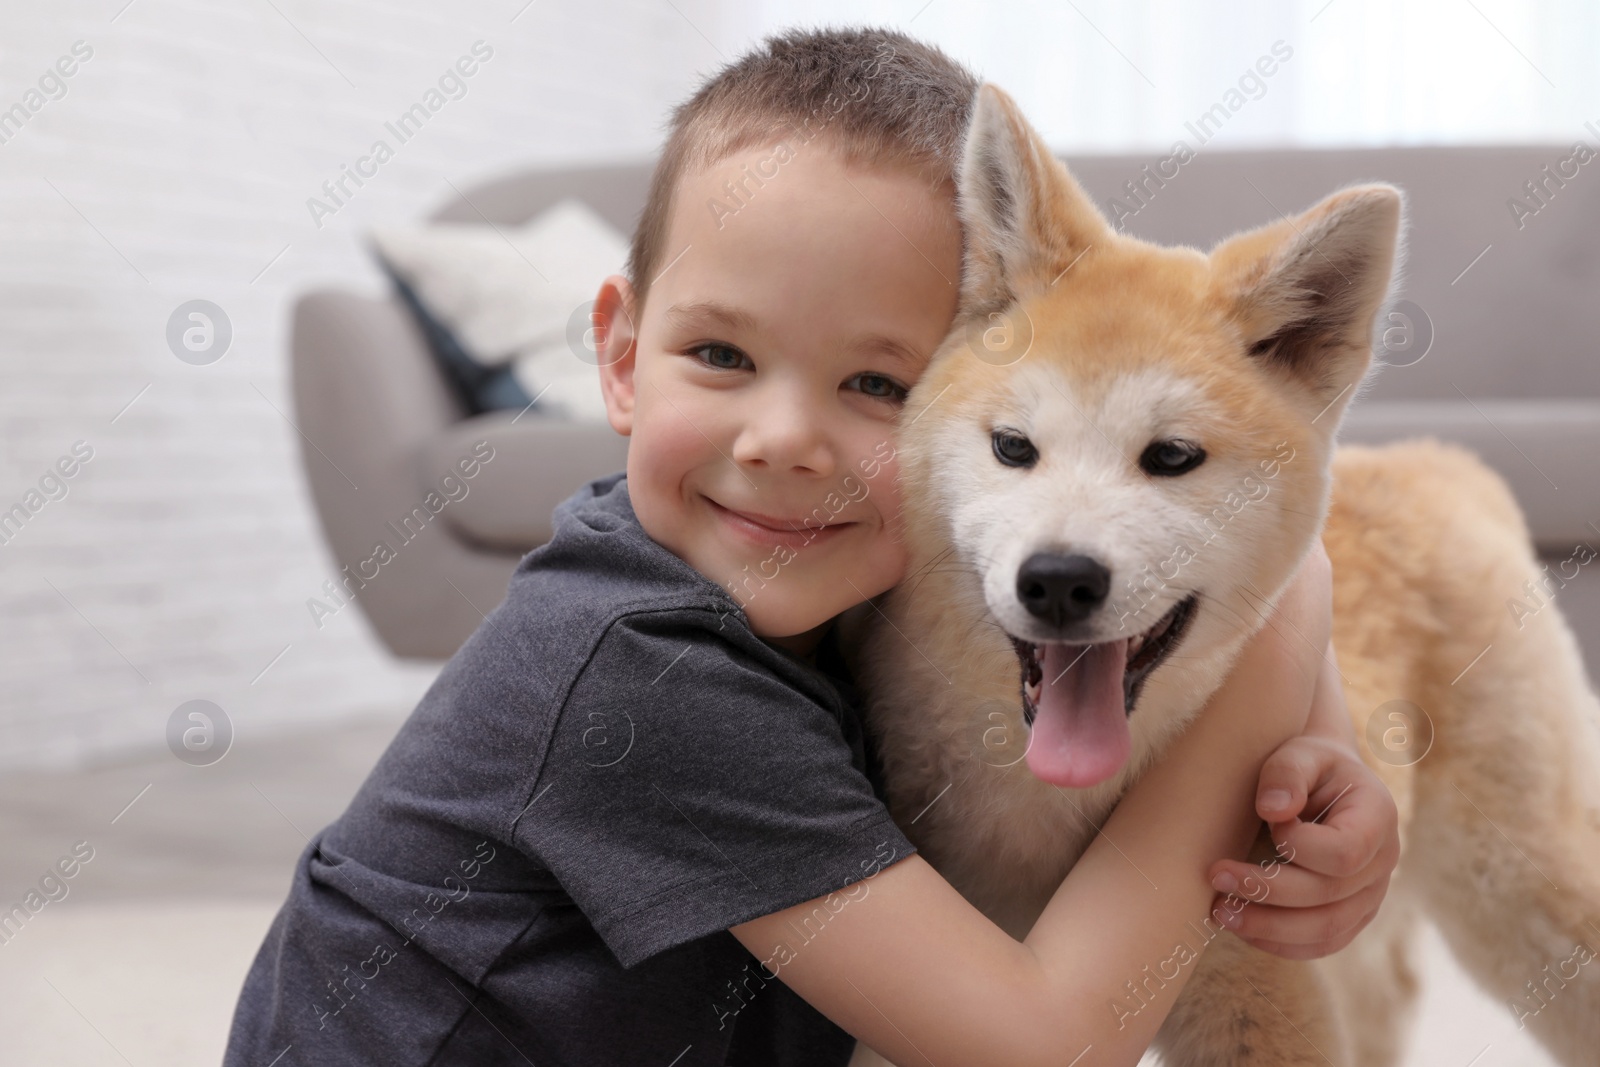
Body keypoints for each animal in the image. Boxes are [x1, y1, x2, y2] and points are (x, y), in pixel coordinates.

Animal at [844, 85, 1600, 1067]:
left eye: (1171, 456)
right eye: (1013, 447)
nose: (1058, 580)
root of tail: (1434, 459)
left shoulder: (1258, 996)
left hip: (1519, 883)